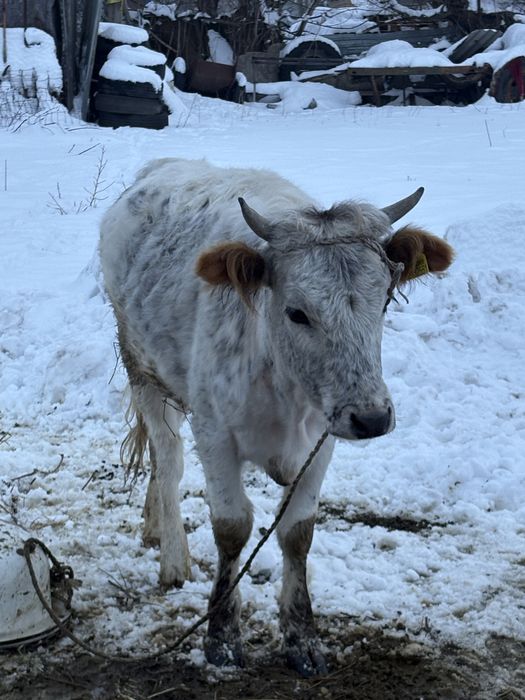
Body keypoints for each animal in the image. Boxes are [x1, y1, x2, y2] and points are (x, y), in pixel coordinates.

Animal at [99, 158, 453, 676]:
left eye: (385, 300)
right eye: (297, 312)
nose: (372, 417)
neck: (283, 381)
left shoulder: (323, 436)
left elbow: (297, 532)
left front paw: (301, 637)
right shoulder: (215, 434)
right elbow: (232, 527)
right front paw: (222, 638)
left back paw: (154, 527)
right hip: (142, 369)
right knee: (168, 460)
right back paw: (174, 560)